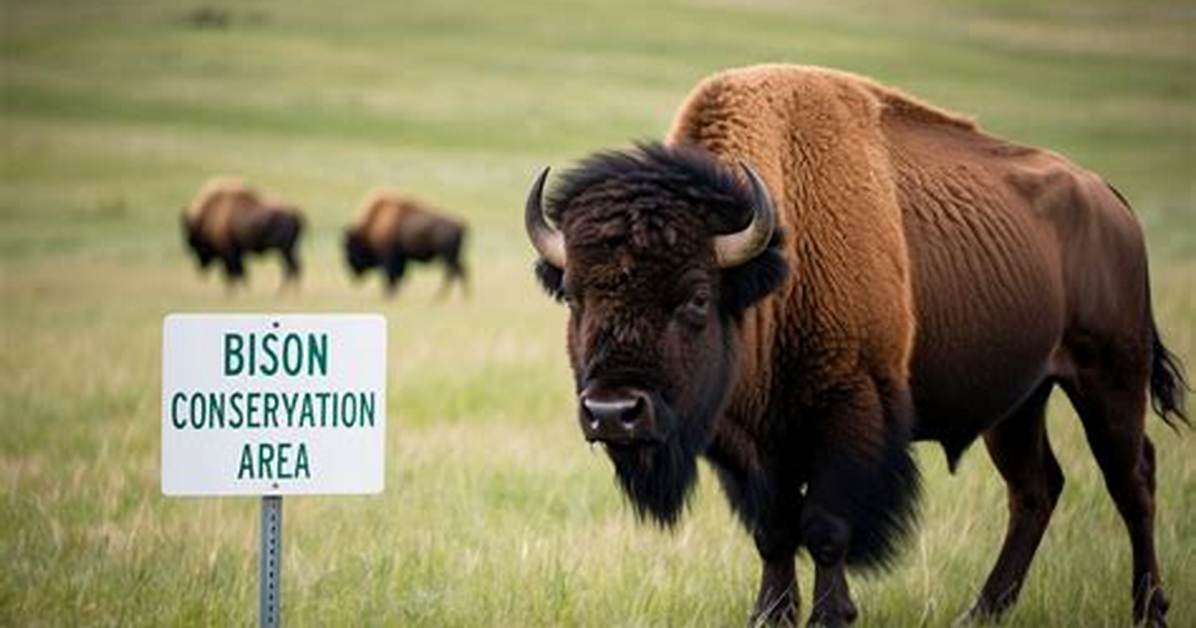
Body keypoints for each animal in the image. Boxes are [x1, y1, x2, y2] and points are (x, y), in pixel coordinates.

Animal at [524, 65, 1186, 626]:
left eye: (695, 298)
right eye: (575, 296)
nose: (613, 413)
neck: (776, 264)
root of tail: (1110, 200)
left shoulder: (851, 409)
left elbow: (824, 526)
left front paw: (830, 614)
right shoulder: (747, 440)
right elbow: (774, 530)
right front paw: (770, 614)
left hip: (1110, 378)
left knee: (1133, 480)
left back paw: (1147, 610)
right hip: (1018, 403)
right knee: (1035, 488)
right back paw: (980, 612)